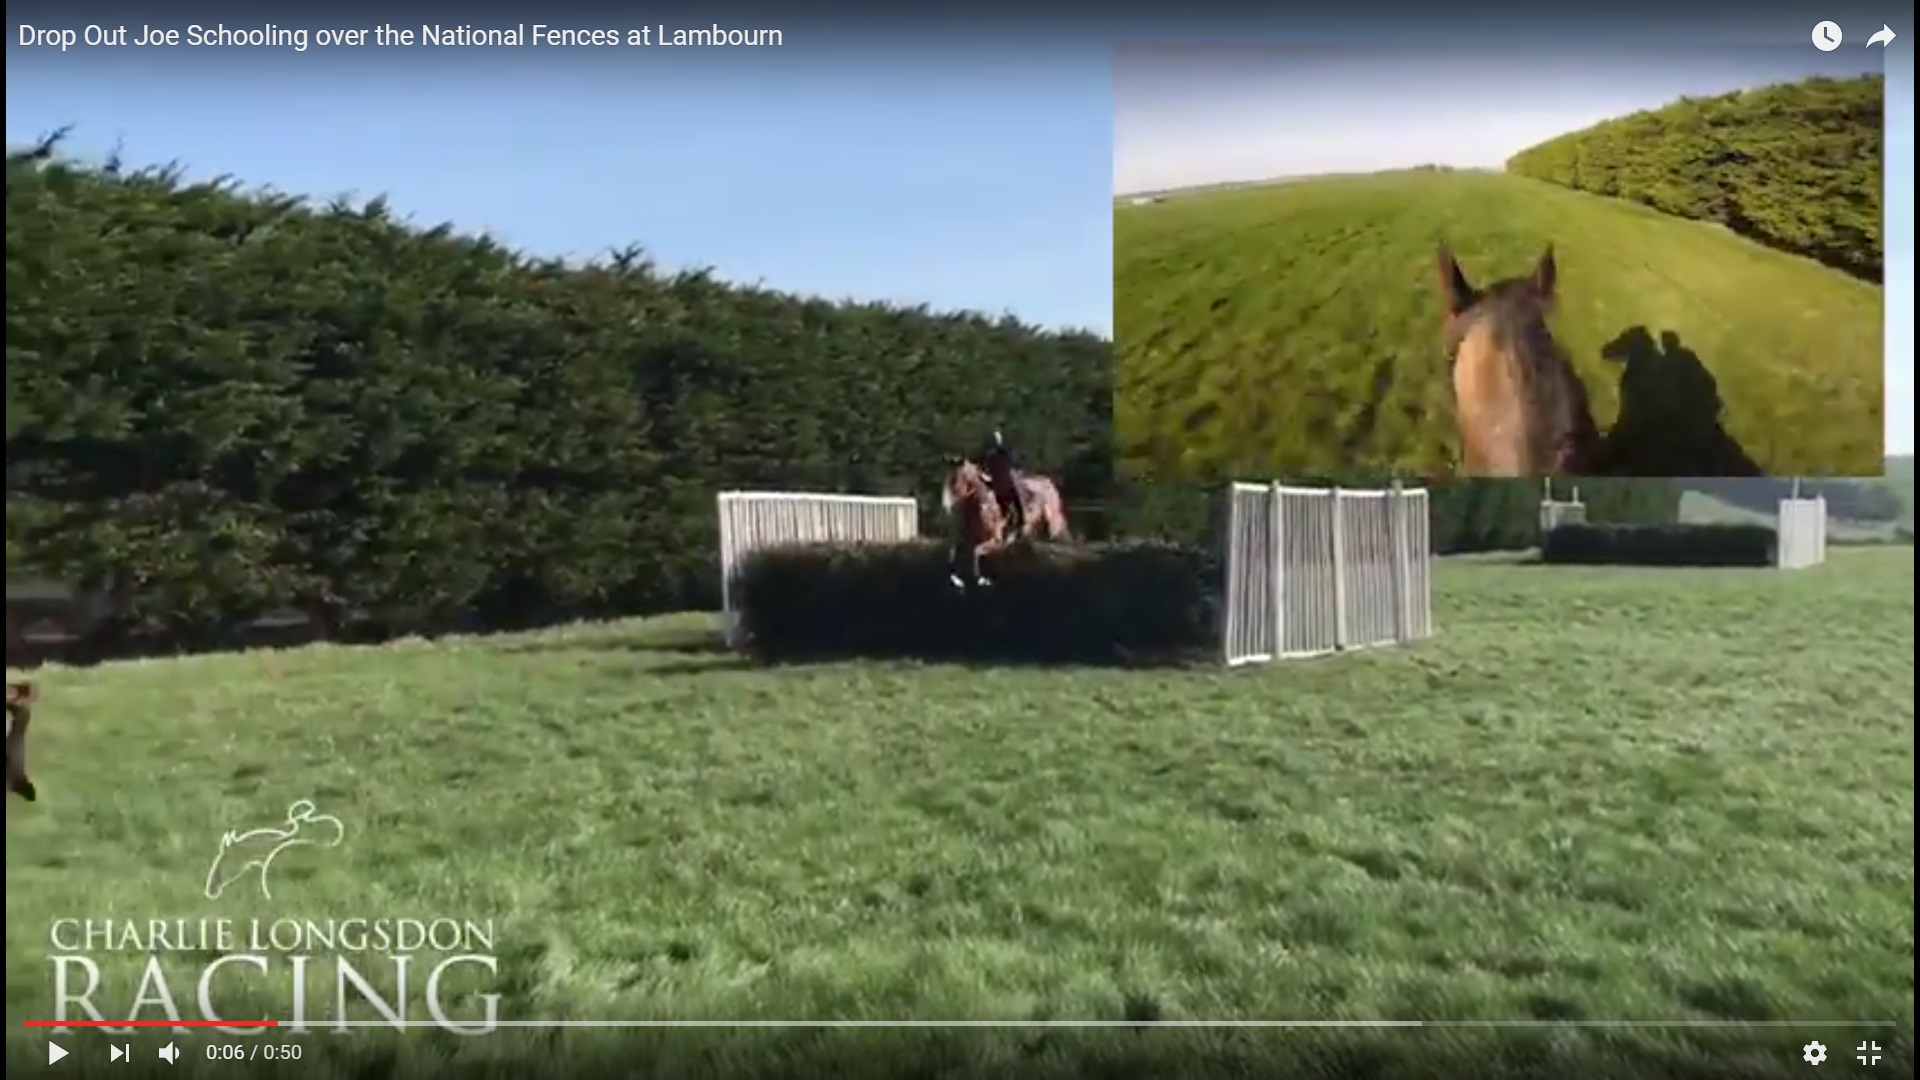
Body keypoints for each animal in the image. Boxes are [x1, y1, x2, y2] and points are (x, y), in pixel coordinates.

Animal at [940, 455, 1075, 588]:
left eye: (957, 479)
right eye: (948, 477)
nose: (946, 505)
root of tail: (1048, 482)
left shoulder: (996, 541)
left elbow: (976, 551)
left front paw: (980, 579)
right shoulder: (967, 540)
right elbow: (954, 553)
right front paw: (956, 579)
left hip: (1054, 524)